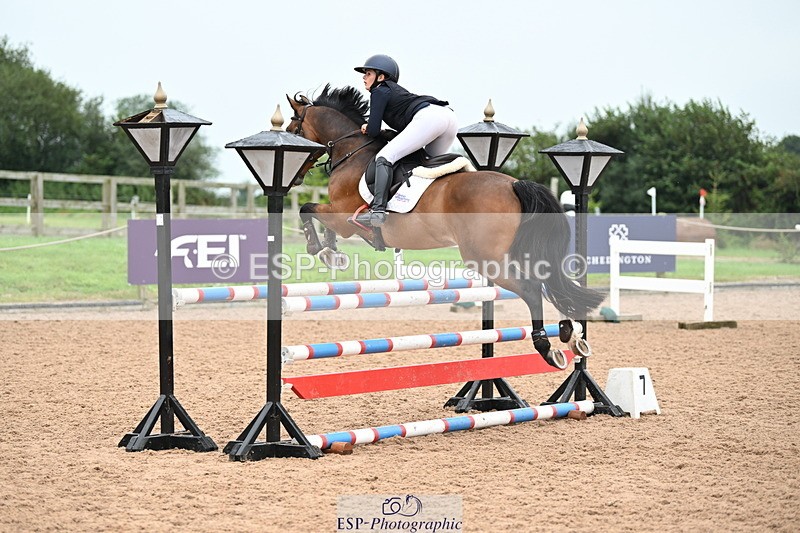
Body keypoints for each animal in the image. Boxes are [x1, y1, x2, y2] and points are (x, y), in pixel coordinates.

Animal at [286, 85, 604, 368]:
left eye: (293, 129)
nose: (296, 177)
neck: (353, 150)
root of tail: (513, 184)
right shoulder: (340, 218)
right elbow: (318, 219)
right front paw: (331, 251)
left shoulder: (343, 217)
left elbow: (307, 209)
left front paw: (318, 248)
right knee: (549, 282)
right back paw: (571, 333)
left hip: (485, 258)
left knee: (530, 288)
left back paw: (546, 347)